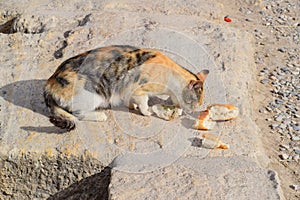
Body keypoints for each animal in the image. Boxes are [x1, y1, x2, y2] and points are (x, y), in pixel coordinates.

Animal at [44, 44, 209, 130]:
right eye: (193, 102)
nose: (192, 111)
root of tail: (50, 82)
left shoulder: (129, 92)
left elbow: (131, 101)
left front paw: (132, 107)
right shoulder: (138, 89)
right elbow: (144, 103)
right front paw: (147, 112)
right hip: (93, 94)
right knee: (78, 113)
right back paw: (100, 116)